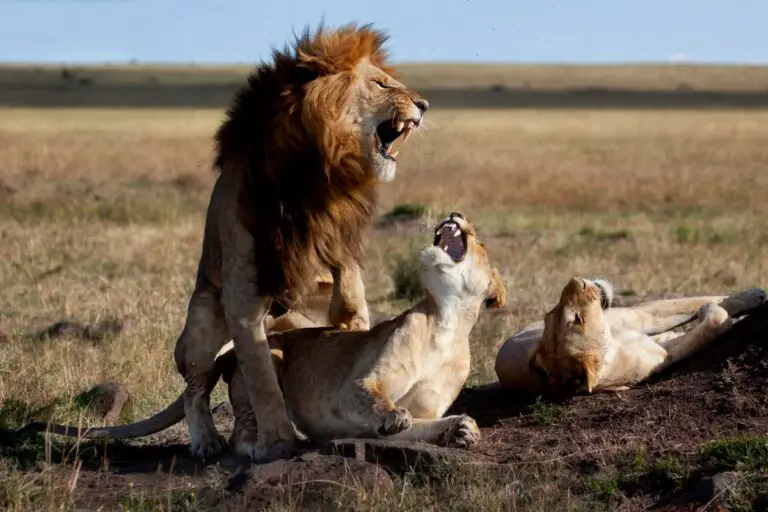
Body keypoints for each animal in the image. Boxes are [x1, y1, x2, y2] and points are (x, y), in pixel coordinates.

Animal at [21, 213, 507, 450]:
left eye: (481, 241)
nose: (455, 212)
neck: (447, 322)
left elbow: (425, 425)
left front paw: (462, 430)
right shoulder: (355, 385)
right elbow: (378, 403)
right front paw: (396, 416)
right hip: (267, 357)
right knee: (241, 431)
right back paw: (260, 446)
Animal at [494, 277, 767, 396]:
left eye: (550, 313)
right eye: (576, 320)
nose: (576, 280)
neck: (613, 346)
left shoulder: (647, 329)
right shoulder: (661, 352)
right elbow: (711, 320)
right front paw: (751, 297)